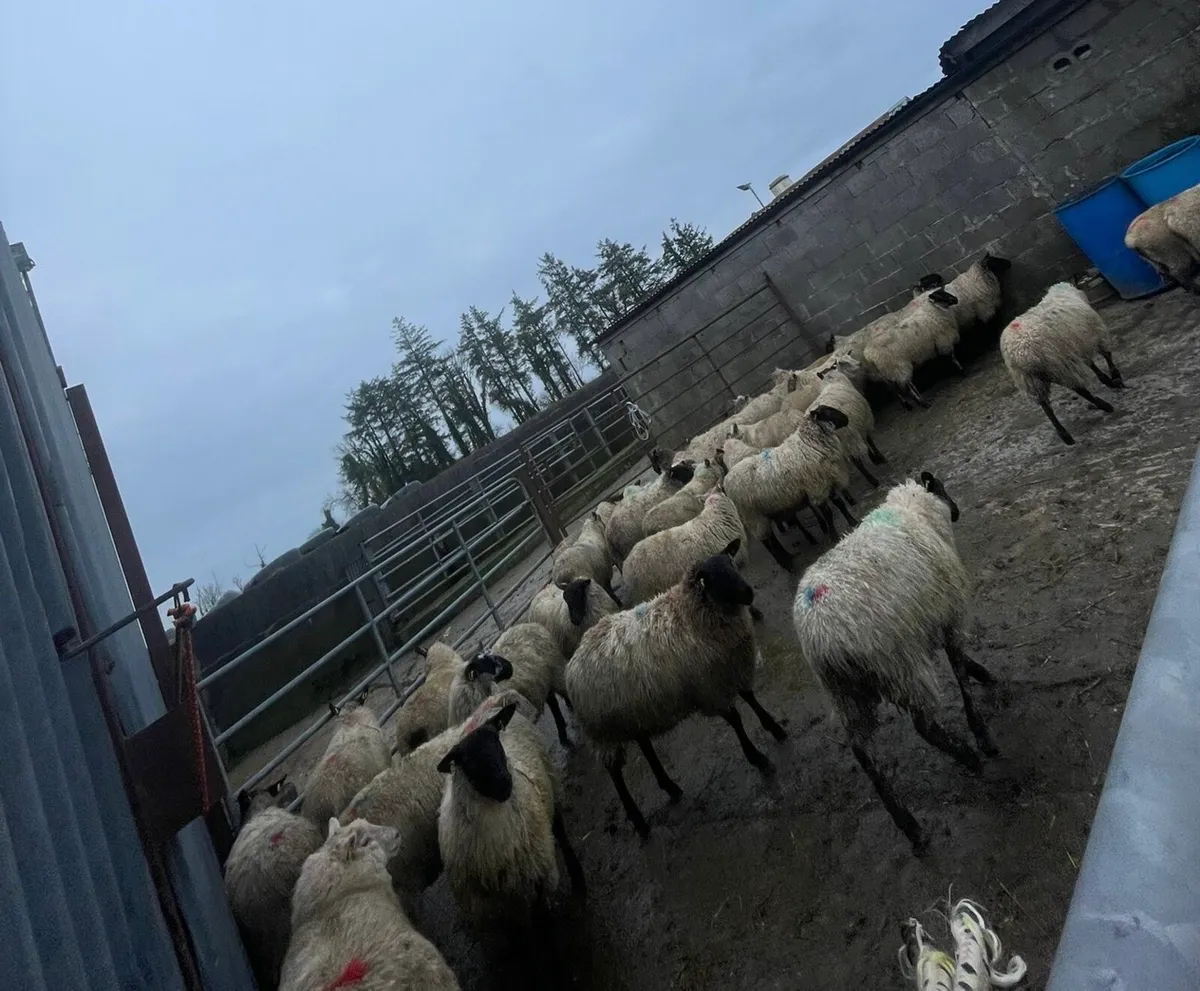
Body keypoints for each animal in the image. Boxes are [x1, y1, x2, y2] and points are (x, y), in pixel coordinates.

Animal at [436, 700, 586, 931]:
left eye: (496, 740)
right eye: (467, 760)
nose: (504, 784)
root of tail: (489, 706)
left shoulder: (536, 869)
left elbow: (540, 911)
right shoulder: (483, 902)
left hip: (548, 780)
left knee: (559, 828)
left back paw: (577, 875)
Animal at [566, 549, 785, 837]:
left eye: (732, 565)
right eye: (714, 576)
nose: (749, 594)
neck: (695, 611)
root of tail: (574, 661)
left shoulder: (730, 670)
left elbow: (750, 698)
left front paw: (775, 728)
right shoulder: (710, 689)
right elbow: (736, 719)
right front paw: (758, 758)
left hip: (630, 714)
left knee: (644, 745)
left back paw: (669, 787)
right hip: (602, 732)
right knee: (615, 773)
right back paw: (638, 821)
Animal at [722, 405, 857, 570]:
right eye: (828, 412)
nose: (847, 418)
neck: (809, 444)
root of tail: (727, 479)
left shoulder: (827, 482)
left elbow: (840, 503)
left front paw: (852, 521)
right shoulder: (816, 488)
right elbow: (828, 513)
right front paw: (834, 536)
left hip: (764, 513)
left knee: (772, 540)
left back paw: (788, 558)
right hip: (753, 517)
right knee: (767, 543)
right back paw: (786, 564)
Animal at [791, 472, 998, 855]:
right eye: (942, 487)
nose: (957, 510)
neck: (916, 512)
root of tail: (823, 638)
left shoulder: (932, 616)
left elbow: (961, 663)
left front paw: (982, 673)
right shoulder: (945, 612)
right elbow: (958, 670)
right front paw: (981, 733)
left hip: (846, 694)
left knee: (864, 755)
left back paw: (910, 825)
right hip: (898, 664)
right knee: (924, 727)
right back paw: (968, 756)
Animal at [998, 281, 1125, 446]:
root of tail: (1021, 353)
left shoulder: (1075, 346)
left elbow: (1091, 363)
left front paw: (1106, 378)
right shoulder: (1095, 334)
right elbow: (1106, 356)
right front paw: (1115, 377)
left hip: (1029, 380)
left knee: (1045, 406)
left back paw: (1064, 434)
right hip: (1058, 365)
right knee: (1079, 389)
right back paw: (1104, 405)